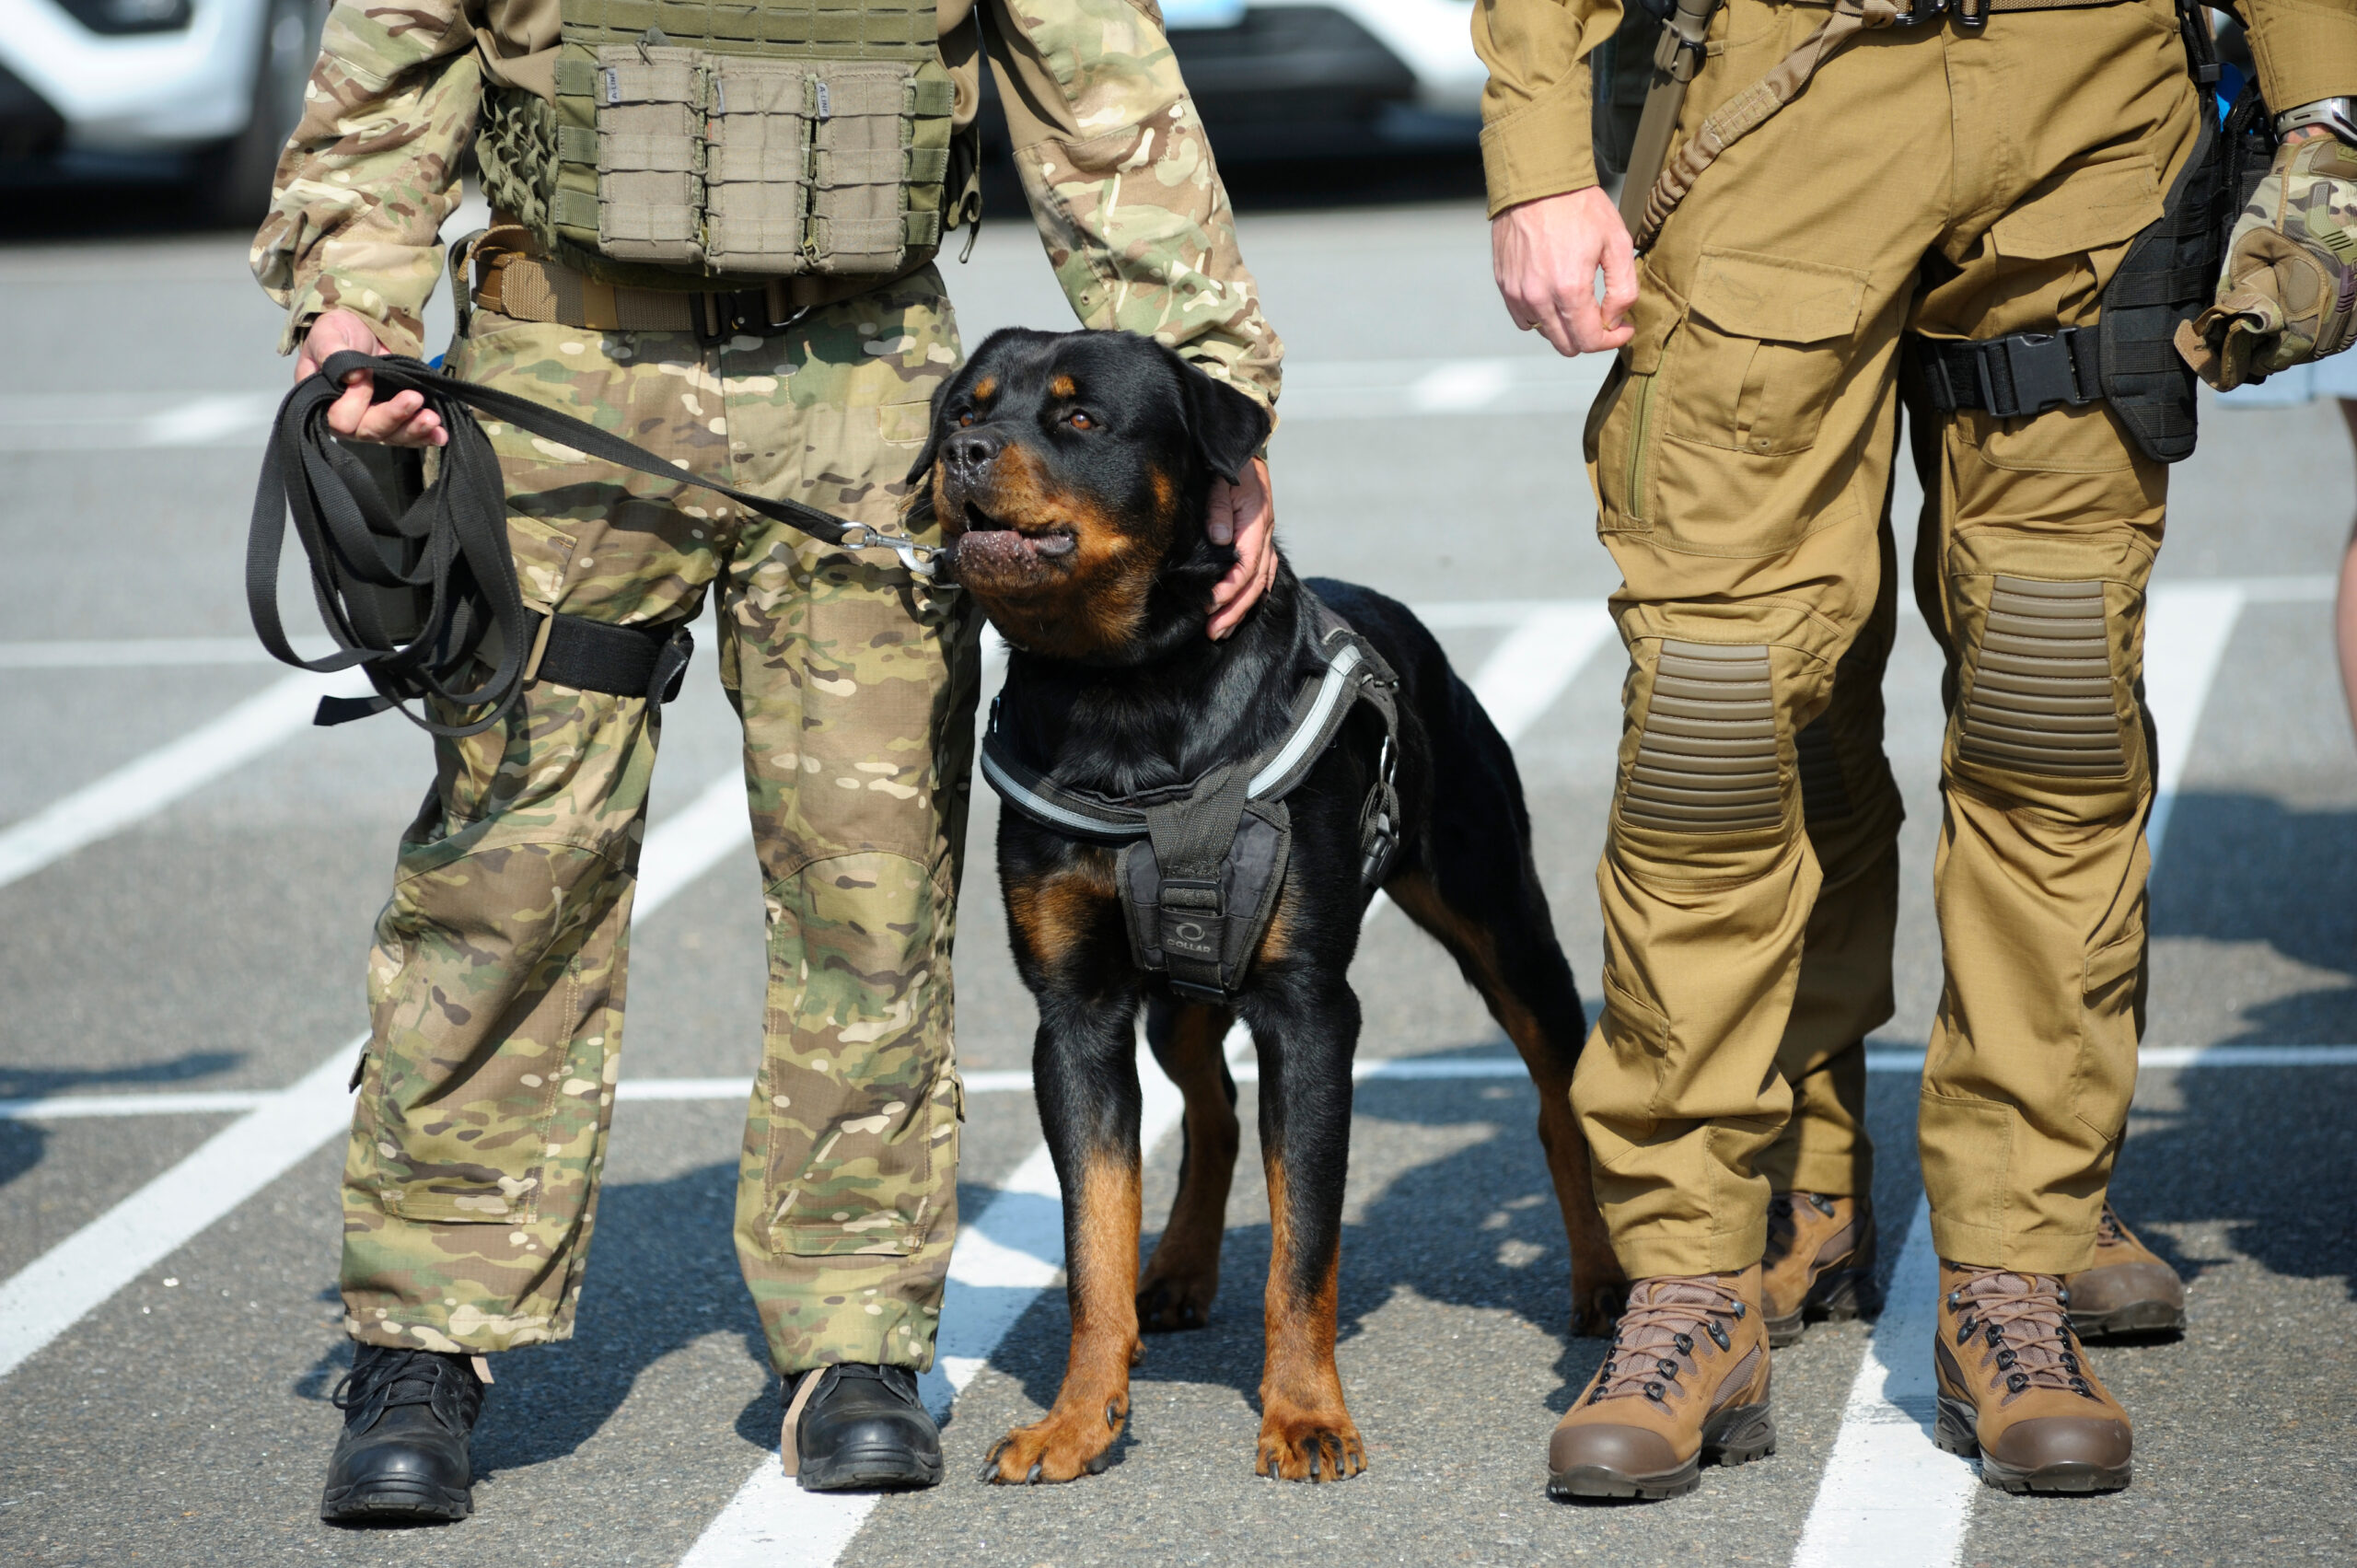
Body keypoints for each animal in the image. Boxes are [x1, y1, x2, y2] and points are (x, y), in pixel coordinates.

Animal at [910, 327, 1631, 1481]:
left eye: (1079, 418)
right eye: (962, 408)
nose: (962, 454)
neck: (1127, 694)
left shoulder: (1309, 1006)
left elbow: (1304, 1248)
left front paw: (1304, 1416)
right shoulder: (1074, 1012)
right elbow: (1091, 1239)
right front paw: (1077, 1419)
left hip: (1502, 917)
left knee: (1558, 1094)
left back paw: (1602, 1277)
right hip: (1179, 991)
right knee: (1210, 1106)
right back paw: (1177, 1270)